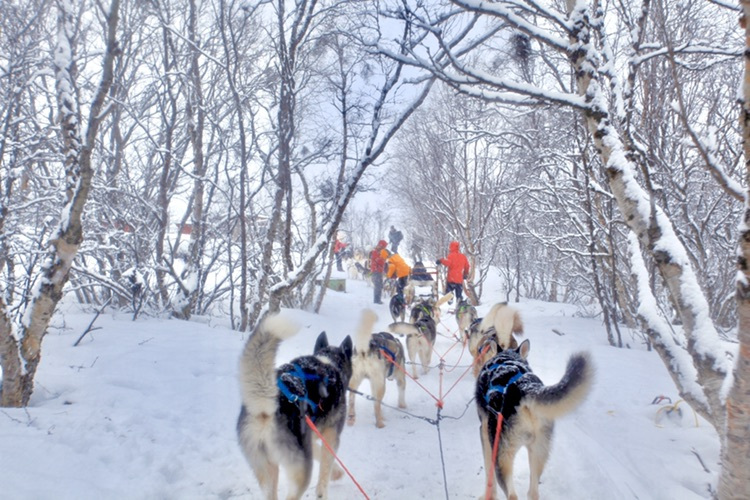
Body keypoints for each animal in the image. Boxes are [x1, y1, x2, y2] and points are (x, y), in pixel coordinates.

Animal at [239, 314, 356, 498]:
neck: (329, 362)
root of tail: (267, 405)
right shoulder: (331, 435)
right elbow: (325, 470)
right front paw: (332, 479)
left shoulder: (312, 436)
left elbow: (317, 451)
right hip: (300, 472)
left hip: (268, 468)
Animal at [478, 340, 596, 500]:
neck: (508, 358)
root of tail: (524, 388)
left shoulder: (484, 434)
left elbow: (488, 475)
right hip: (538, 452)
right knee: (533, 492)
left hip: (501, 457)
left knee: (512, 495)